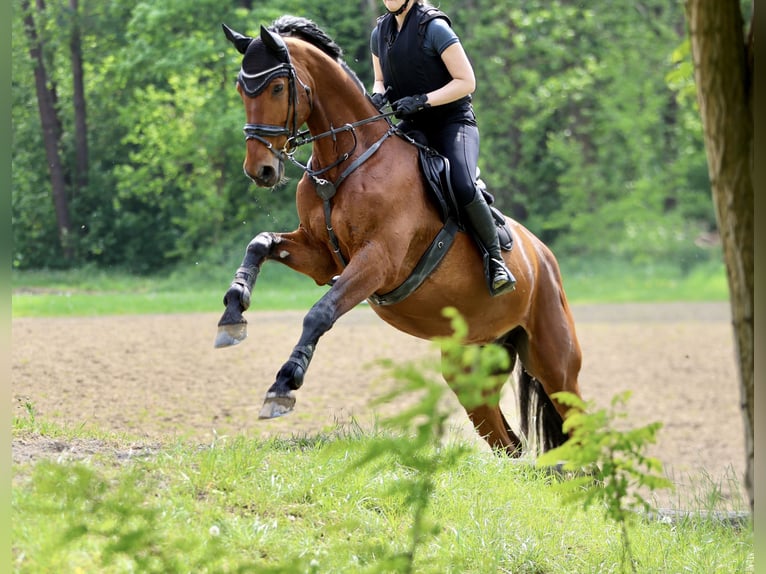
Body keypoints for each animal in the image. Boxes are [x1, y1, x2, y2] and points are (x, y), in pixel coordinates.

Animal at [215, 16, 583, 456]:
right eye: (242, 88)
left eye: (276, 87)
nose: (261, 170)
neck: (345, 163)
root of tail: (544, 257)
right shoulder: (320, 256)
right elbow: (260, 243)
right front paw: (232, 315)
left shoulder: (378, 262)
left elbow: (320, 313)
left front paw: (284, 385)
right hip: (471, 365)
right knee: (509, 443)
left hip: (555, 362)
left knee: (577, 422)